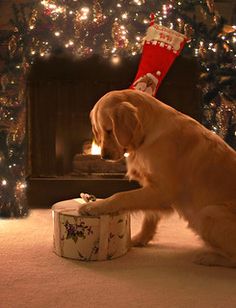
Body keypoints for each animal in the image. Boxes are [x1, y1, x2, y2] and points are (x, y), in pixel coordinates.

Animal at [79, 89, 236, 268]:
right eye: (98, 131)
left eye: (110, 130)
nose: (104, 157)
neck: (146, 136)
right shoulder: (153, 188)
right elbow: (149, 217)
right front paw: (138, 239)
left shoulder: (163, 191)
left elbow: (121, 196)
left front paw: (94, 207)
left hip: (208, 213)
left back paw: (208, 257)